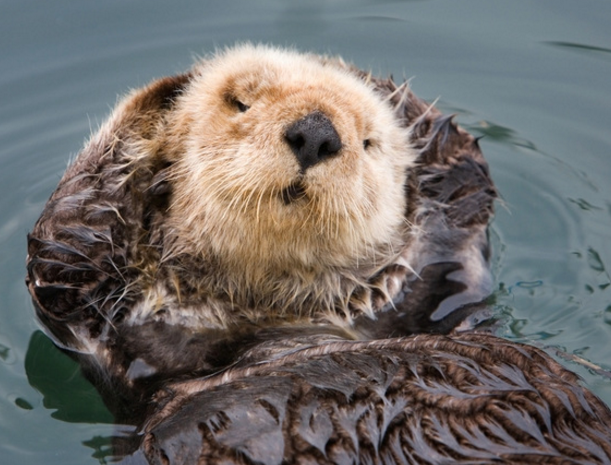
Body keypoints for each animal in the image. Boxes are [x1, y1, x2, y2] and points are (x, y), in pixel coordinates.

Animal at [25, 44, 611, 460]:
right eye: (240, 103)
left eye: (370, 142)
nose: (315, 132)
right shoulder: (106, 328)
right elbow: (62, 248)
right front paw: (168, 97)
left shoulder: (443, 283)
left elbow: (460, 185)